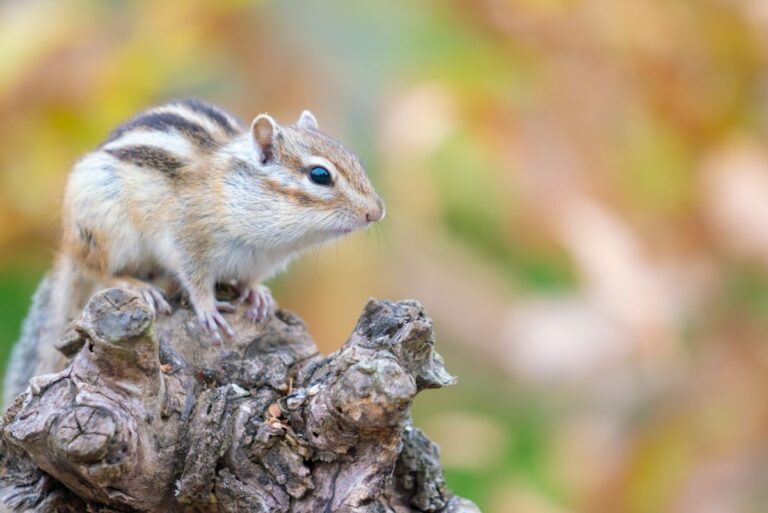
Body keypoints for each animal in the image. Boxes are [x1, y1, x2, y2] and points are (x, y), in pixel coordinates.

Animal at [3, 99, 384, 406]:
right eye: (320, 175)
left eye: (355, 161)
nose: (377, 212)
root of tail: (69, 244)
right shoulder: (186, 240)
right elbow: (195, 279)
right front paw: (209, 311)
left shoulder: (260, 261)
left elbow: (251, 280)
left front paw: (257, 295)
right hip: (105, 228)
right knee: (99, 269)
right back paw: (139, 286)